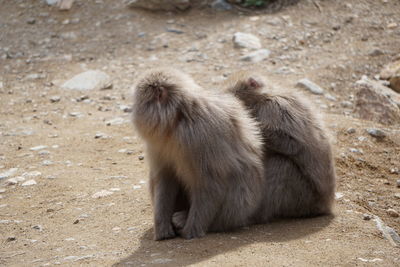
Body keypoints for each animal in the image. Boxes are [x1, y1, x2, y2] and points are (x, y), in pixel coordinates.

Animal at [130, 68, 266, 241]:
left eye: (139, 102)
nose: (133, 110)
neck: (178, 117)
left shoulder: (199, 136)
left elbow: (210, 183)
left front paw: (191, 231)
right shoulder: (158, 143)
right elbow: (166, 177)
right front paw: (162, 228)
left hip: (234, 212)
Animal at [225, 74, 334, 223]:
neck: (266, 95)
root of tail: (325, 206)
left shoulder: (274, 108)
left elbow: (292, 144)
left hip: (303, 198)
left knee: (282, 165)